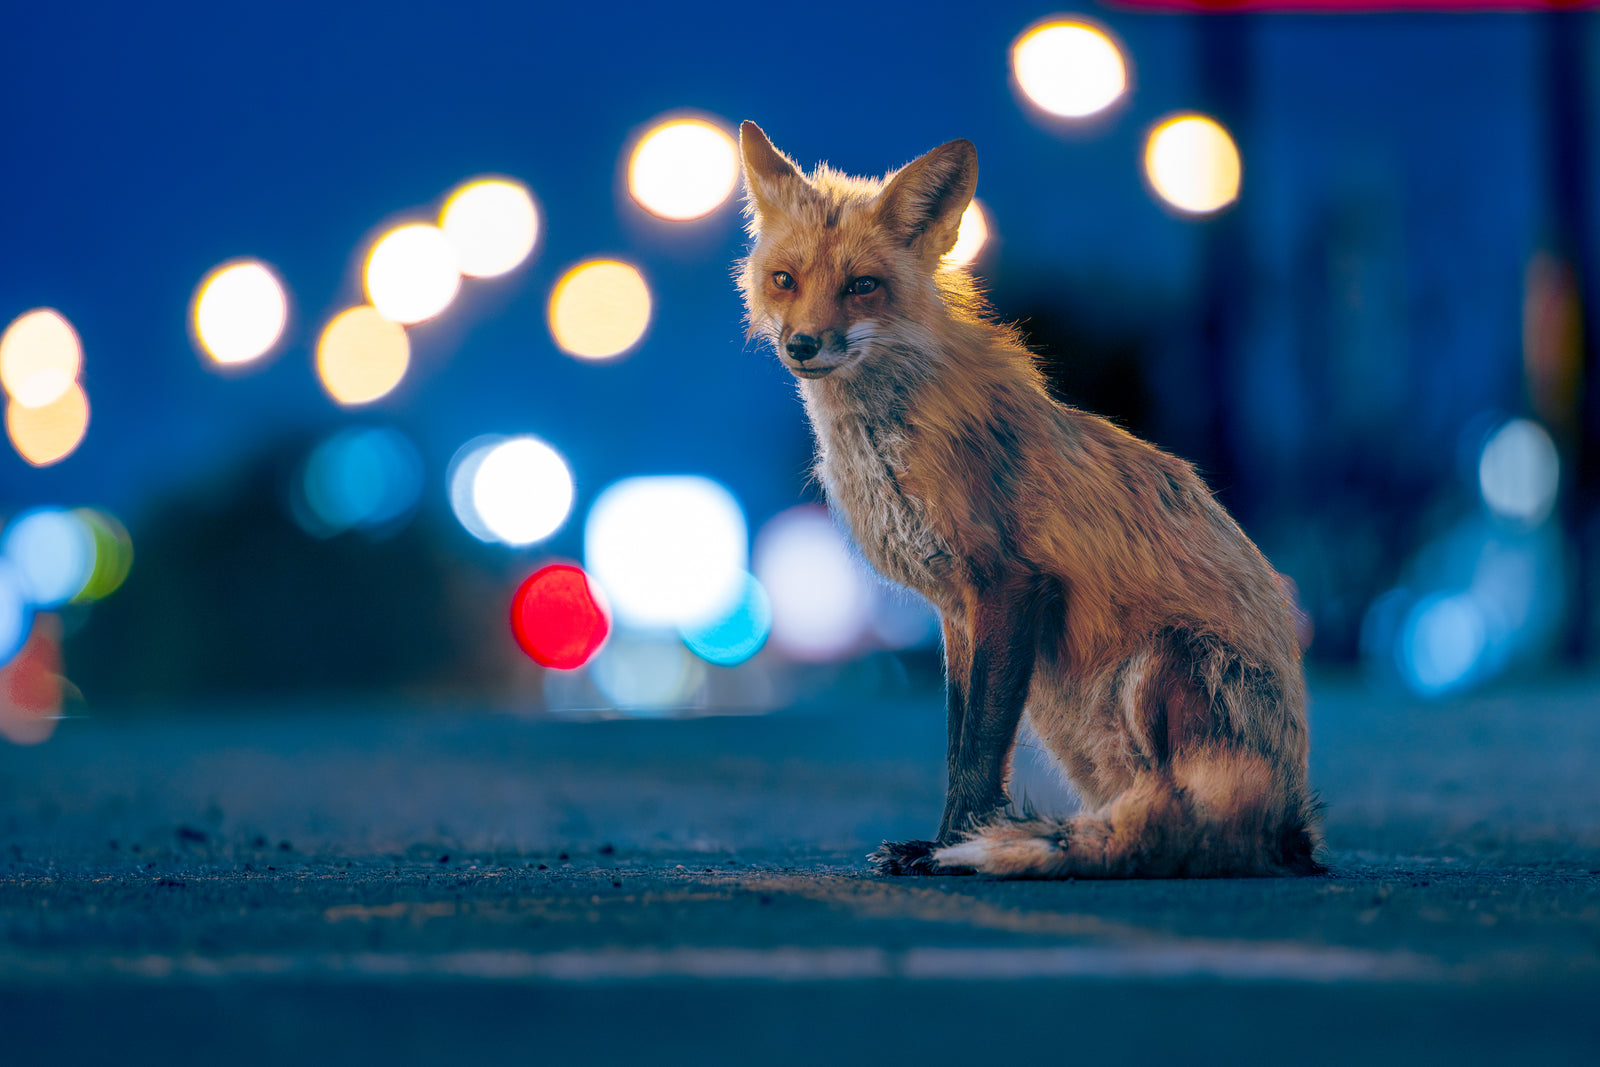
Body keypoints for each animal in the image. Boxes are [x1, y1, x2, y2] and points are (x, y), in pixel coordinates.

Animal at [735, 122, 1323, 878]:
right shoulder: (957, 609)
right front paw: (946, 842)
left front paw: (946, 851)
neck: (886, 440)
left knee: (1188, 824)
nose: (803, 345)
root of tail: (1292, 825)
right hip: (1064, 709)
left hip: (1160, 663)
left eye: (862, 286)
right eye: (785, 280)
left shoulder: (1009, 584)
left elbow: (978, 753)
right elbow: (960, 742)